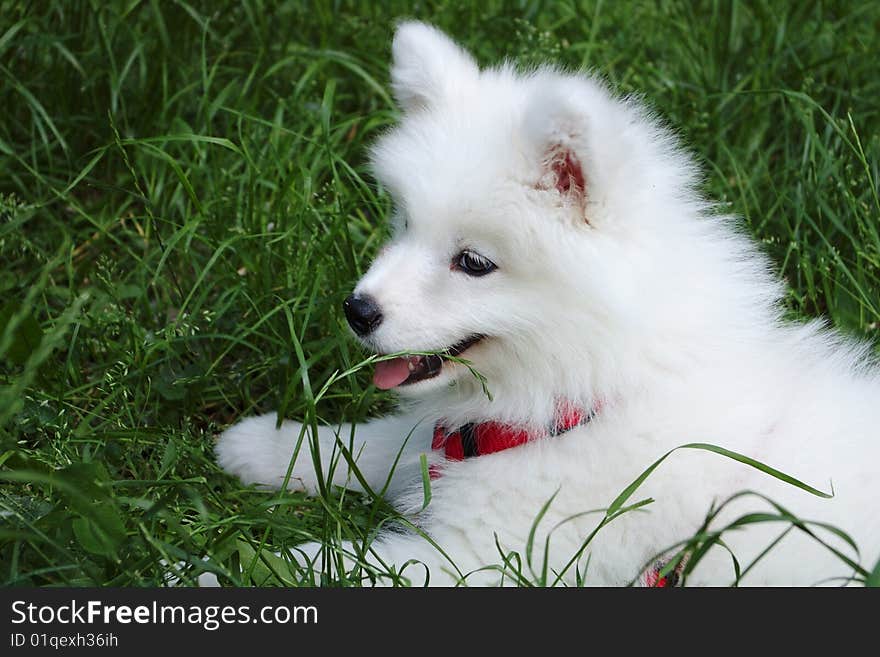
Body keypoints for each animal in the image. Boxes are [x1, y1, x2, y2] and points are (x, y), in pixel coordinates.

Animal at [215, 21, 880, 584]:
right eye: (404, 224)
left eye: (474, 263)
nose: (357, 310)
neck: (594, 388)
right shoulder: (459, 445)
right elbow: (377, 443)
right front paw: (267, 445)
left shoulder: (491, 553)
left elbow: (333, 566)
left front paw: (218, 574)